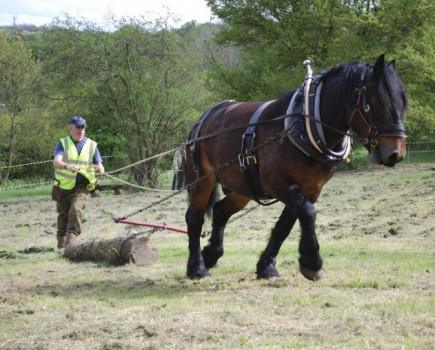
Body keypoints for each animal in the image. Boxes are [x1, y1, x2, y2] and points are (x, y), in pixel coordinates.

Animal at [185, 54, 408, 278]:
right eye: (375, 103)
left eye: (402, 103)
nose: (396, 153)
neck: (304, 126)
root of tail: (206, 117)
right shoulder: (277, 184)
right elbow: (307, 213)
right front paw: (312, 261)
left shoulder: (310, 189)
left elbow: (285, 225)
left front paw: (267, 266)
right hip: (201, 180)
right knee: (194, 219)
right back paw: (197, 267)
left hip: (243, 186)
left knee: (221, 211)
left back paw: (211, 254)